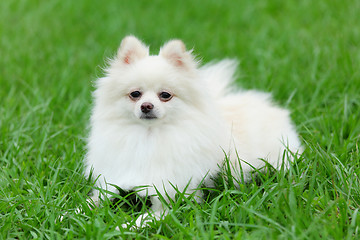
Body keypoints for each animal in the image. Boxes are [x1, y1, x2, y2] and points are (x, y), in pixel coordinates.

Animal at [84, 35, 300, 227]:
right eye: (135, 94)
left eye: (165, 95)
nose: (146, 106)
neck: (149, 138)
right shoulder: (112, 185)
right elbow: (89, 202)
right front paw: (76, 213)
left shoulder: (172, 199)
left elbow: (143, 219)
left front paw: (123, 227)